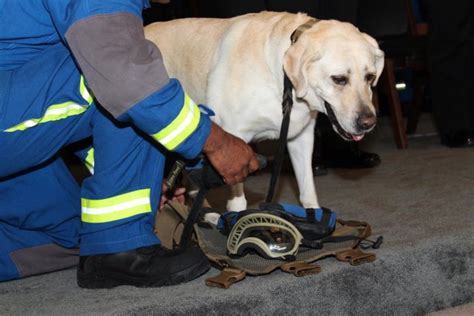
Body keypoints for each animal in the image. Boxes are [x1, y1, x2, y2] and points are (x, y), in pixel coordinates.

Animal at [145, 11, 386, 211]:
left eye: (370, 77)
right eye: (339, 79)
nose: (369, 123)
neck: (281, 79)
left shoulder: (301, 139)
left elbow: (308, 193)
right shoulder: (234, 148)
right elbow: (238, 202)